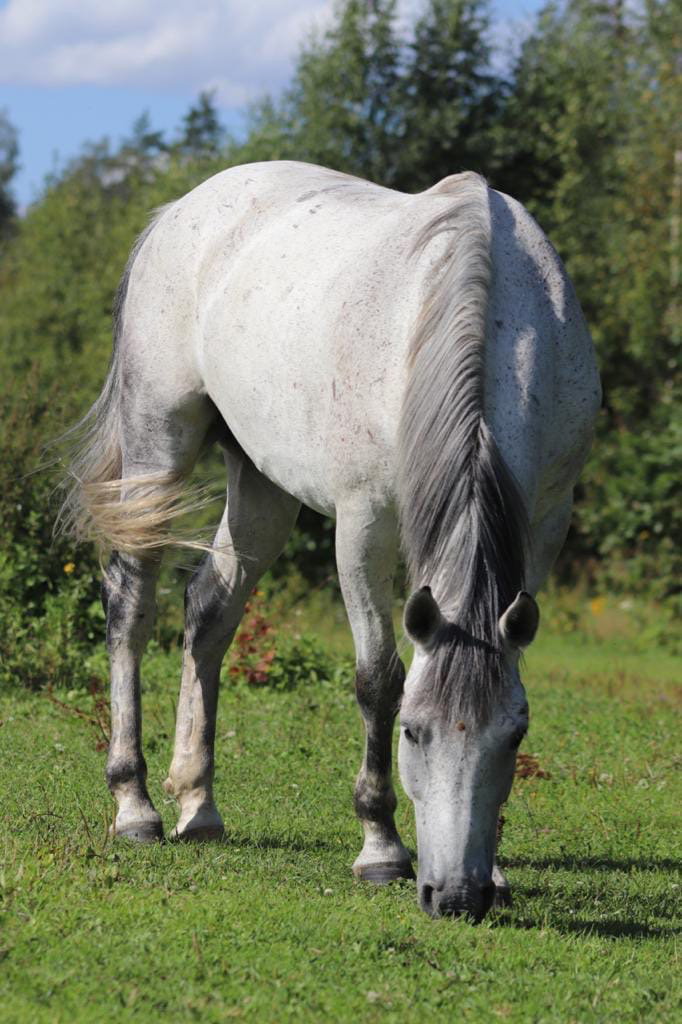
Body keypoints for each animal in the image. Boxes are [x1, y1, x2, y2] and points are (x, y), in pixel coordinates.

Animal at [58, 160, 600, 921]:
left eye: (514, 735)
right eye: (413, 731)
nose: (456, 897)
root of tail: (179, 211)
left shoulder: (545, 525)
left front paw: (495, 869)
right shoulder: (363, 523)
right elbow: (379, 677)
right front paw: (381, 849)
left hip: (261, 484)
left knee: (210, 611)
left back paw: (199, 805)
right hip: (155, 445)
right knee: (132, 607)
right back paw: (135, 805)